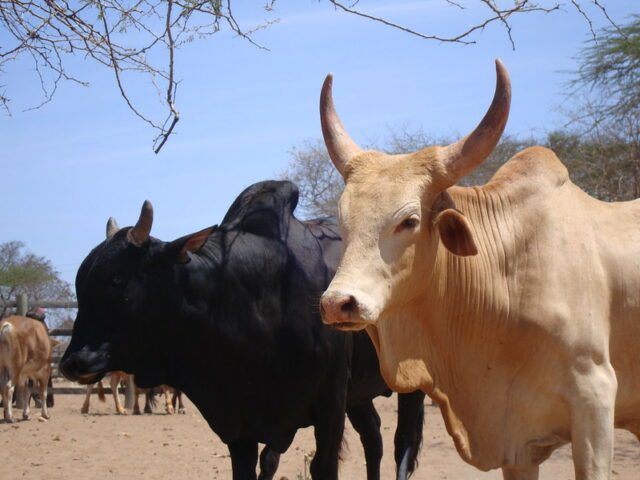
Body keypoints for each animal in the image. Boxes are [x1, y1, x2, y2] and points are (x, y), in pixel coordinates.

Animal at [60, 180, 425, 480]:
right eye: (80, 282)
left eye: (117, 278)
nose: (72, 363)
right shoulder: (239, 425)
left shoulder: (329, 408)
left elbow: (323, 467)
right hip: (359, 392)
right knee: (373, 438)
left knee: (402, 445)